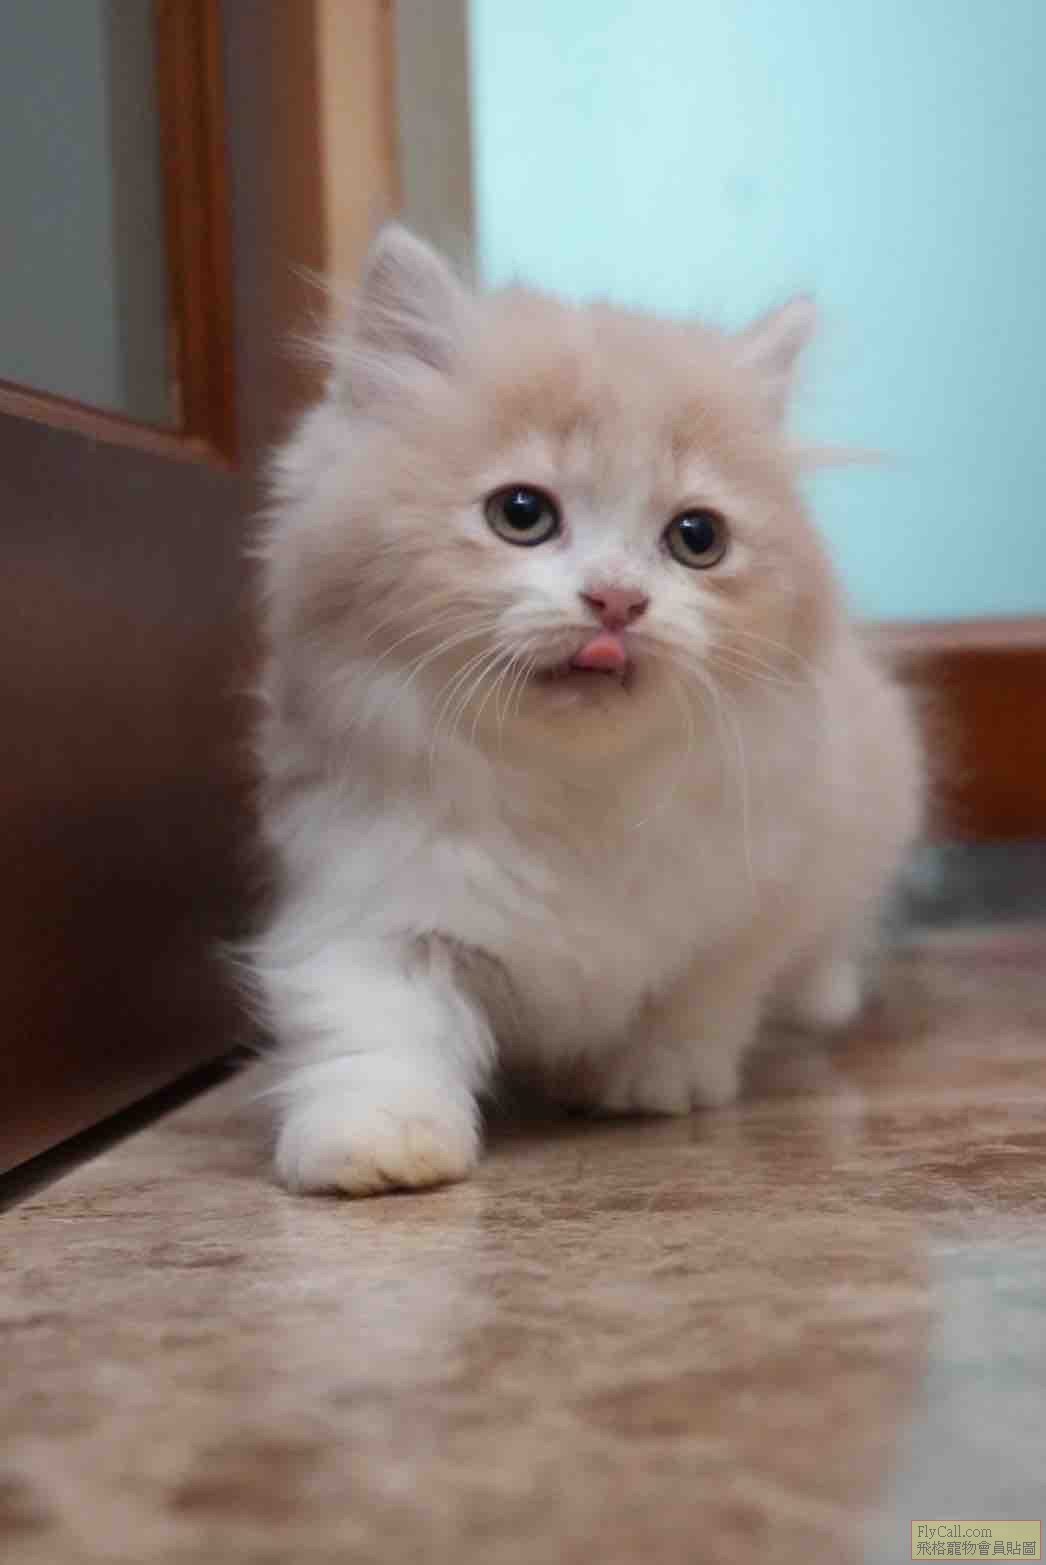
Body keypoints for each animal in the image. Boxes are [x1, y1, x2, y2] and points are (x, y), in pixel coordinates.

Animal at [248, 224, 923, 1196]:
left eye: (697, 538)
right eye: (522, 513)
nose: (616, 601)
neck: (573, 786)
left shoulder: (751, 900)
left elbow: (700, 996)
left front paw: (653, 1080)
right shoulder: (370, 897)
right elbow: (377, 1027)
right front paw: (378, 1145)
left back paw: (826, 993)